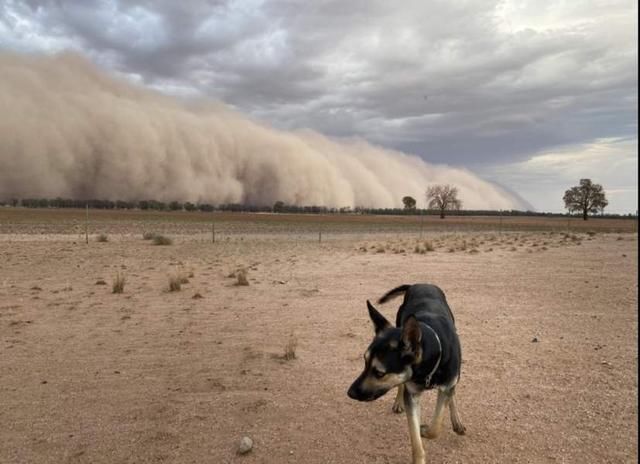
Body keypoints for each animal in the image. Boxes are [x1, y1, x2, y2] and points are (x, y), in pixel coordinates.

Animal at [348, 284, 468, 462]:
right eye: (365, 361)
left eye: (379, 373)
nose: (349, 393)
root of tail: (419, 284)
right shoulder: (412, 395)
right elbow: (416, 439)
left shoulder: (447, 383)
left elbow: (436, 426)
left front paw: (425, 430)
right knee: (401, 386)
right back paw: (398, 402)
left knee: (451, 393)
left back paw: (457, 422)